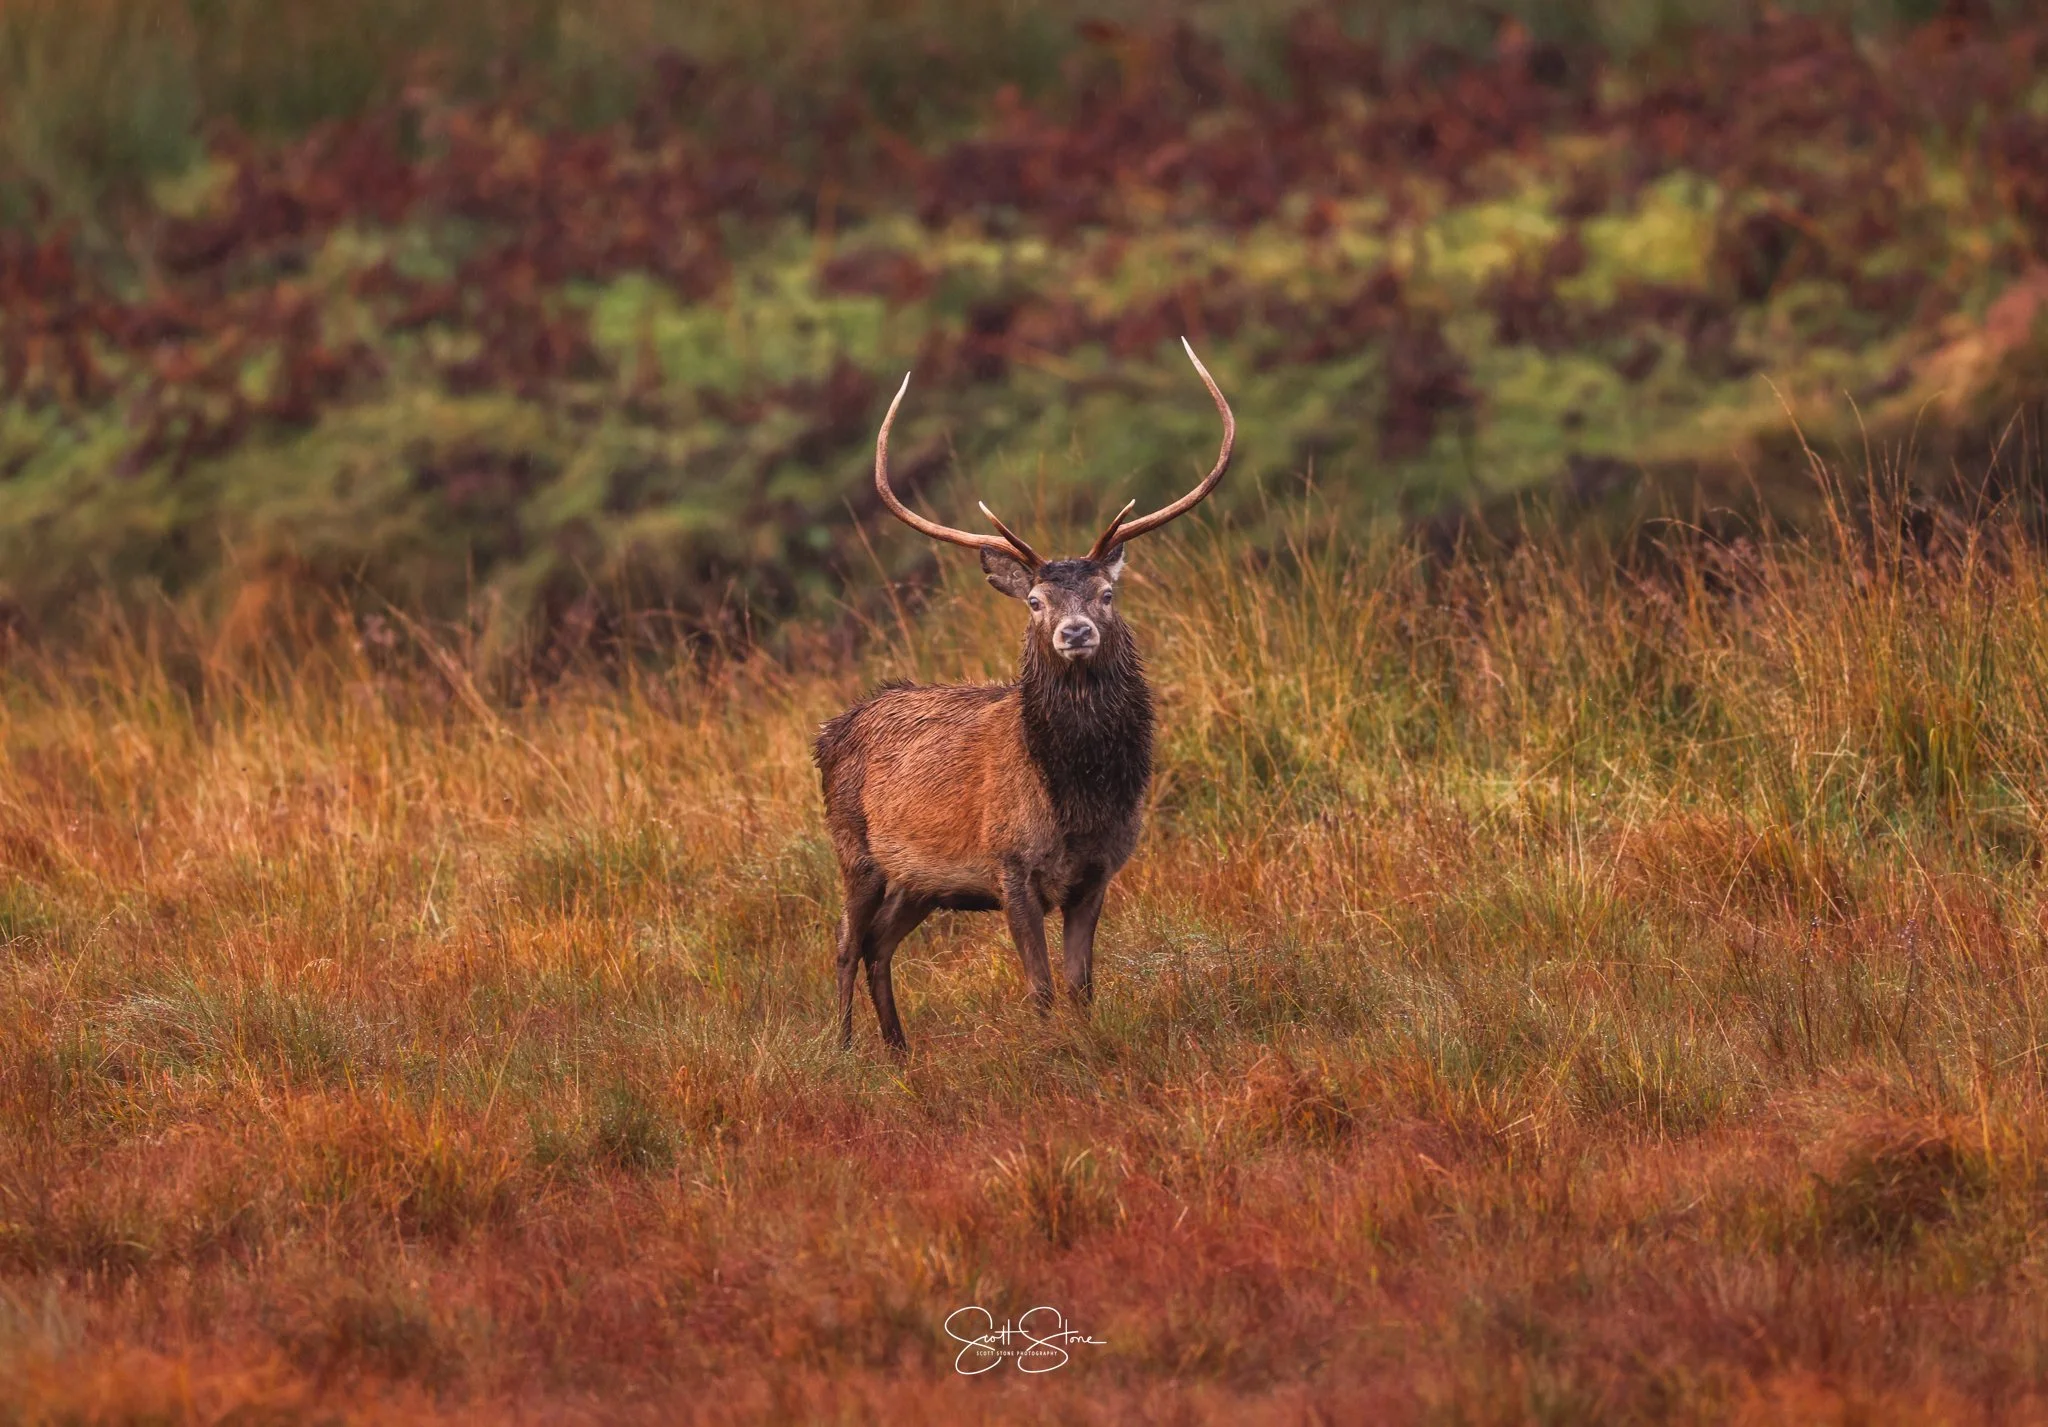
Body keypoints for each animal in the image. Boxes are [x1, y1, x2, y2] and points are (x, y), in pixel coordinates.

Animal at [813, 338, 1234, 1051]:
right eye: (1035, 600)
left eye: (1107, 594)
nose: (1075, 630)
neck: (1079, 798)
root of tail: (829, 732)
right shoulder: (1008, 865)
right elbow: (1039, 989)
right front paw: (1045, 1050)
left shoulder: (1099, 869)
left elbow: (1081, 985)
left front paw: (1087, 1041)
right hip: (854, 848)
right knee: (846, 940)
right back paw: (844, 1050)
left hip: (920, 881)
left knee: (879, 944)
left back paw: (899, 1051)